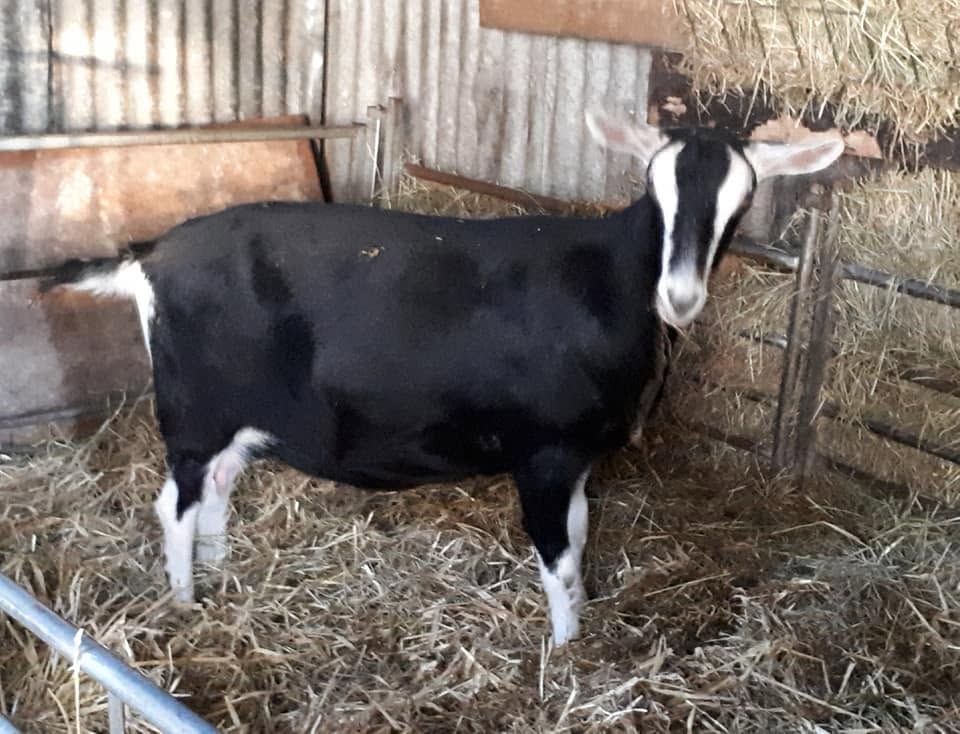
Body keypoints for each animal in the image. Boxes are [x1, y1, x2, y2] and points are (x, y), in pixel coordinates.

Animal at [45, 109, 843, 645]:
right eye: (657, 192)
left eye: (742, 201)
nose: (680, 295)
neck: (607, 279)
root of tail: (150, 255)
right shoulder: (544, 453)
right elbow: (558, 558)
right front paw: (566, 651)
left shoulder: (580, 455)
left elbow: (581, 536)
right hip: (194, 410)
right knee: (173, 505)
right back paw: (185, 602)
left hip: (240, 416)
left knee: (213, 490)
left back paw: (221, 572)